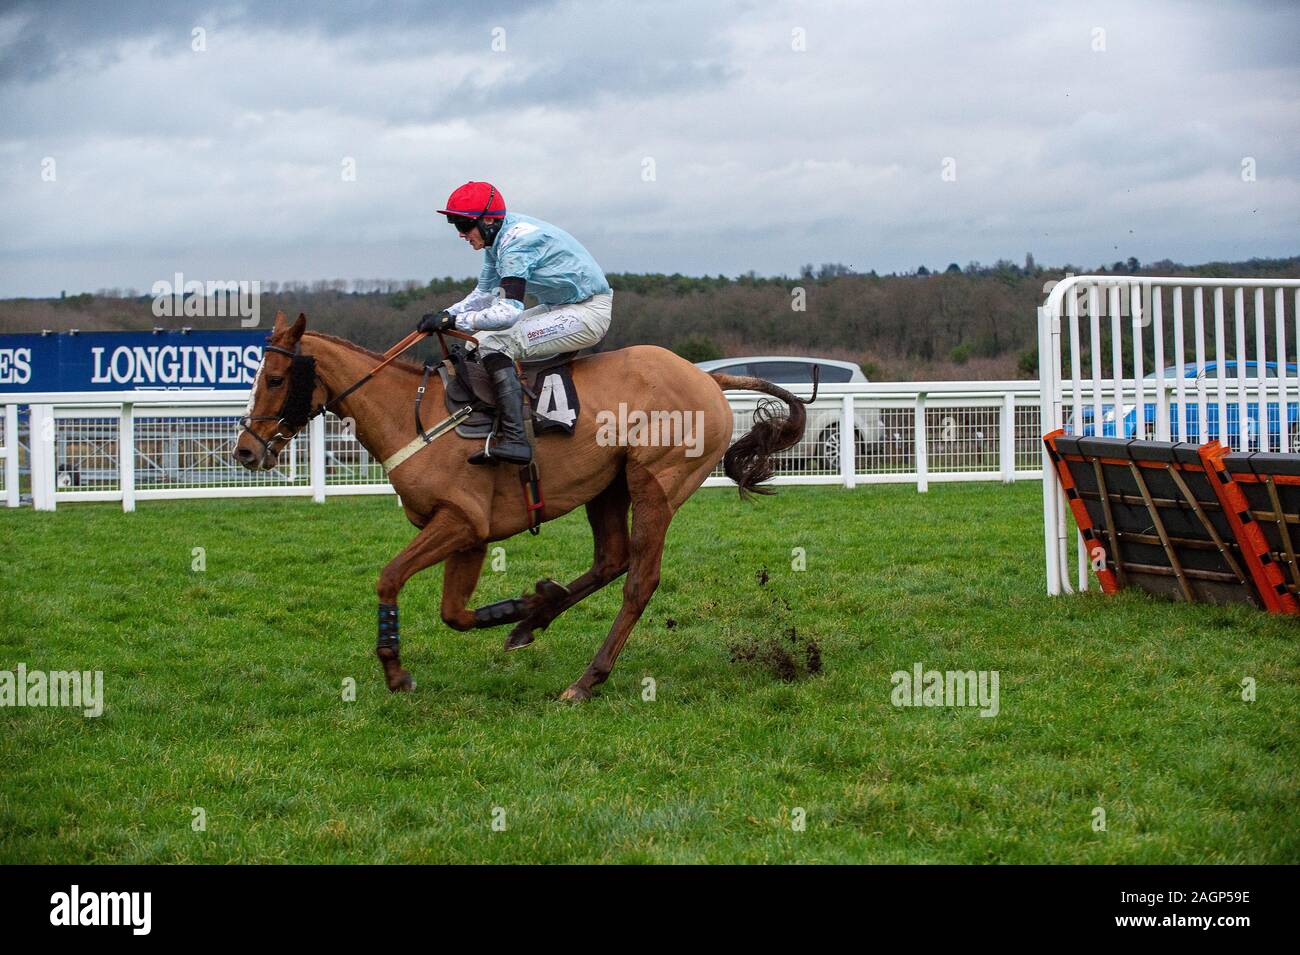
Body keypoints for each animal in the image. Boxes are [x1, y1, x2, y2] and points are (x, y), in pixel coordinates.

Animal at [228, 314, 806, 701]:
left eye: (274, 379)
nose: (246, 451)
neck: (413, 416)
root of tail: (707, 377)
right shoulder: (470, 535)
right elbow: (454, 613)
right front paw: (524, 607)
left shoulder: (461, 522)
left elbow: (390, 577)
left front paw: (395, 670)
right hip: (608, 486)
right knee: (611, 560)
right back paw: (538, 617)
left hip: (655, 484)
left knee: (639, 581)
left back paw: (586, 681)